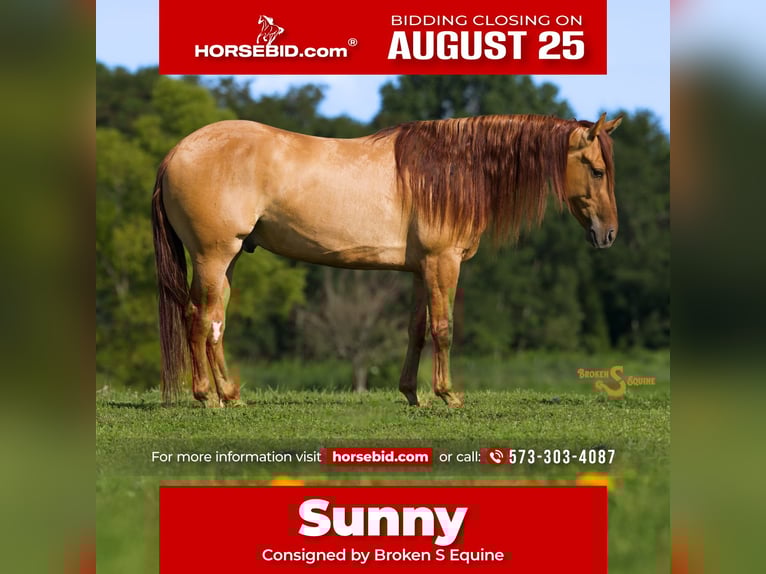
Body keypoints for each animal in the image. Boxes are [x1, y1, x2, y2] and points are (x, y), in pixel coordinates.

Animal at [151, 113, 622, 407]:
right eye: (597, 170)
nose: (609, 234)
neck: (453, 170)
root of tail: (176, 152)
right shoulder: (442, 262)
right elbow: (444, 329)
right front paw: (448, 395)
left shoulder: (419, 269)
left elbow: (416, 331)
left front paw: (412, 394)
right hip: (214, 256)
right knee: (203, 320)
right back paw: (212, 397)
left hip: (225, 260)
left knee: (210, 319)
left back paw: (225, 394)